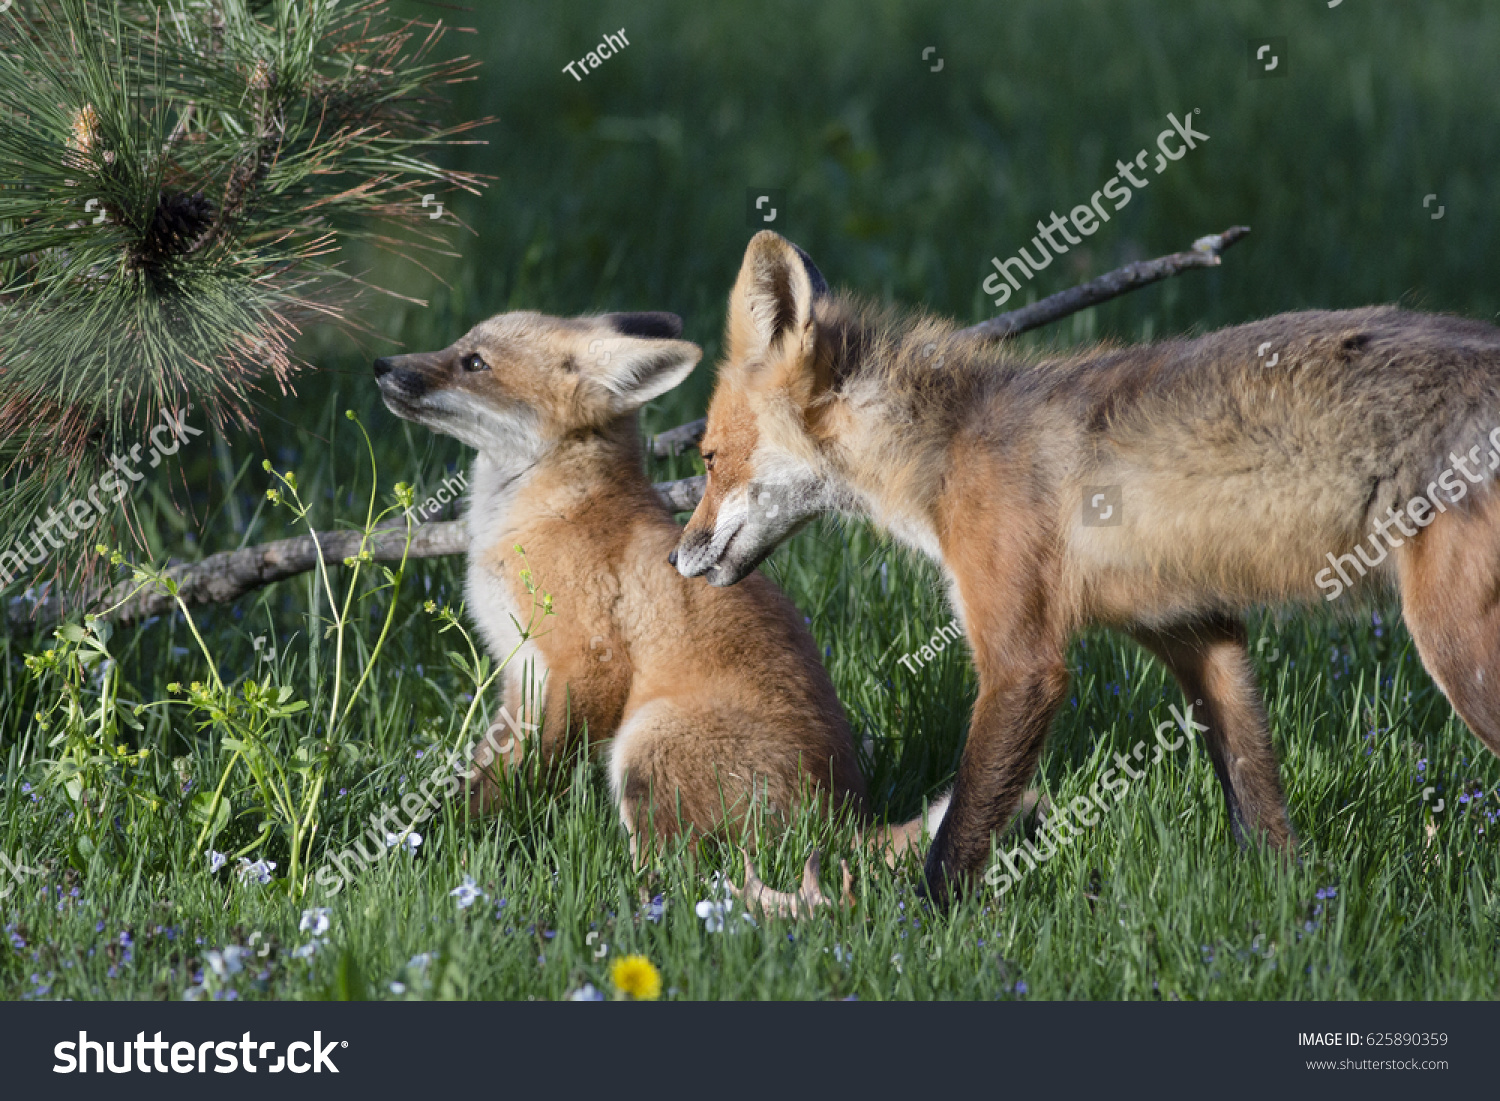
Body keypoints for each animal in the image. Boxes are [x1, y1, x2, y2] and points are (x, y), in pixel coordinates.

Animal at [372, 308, 948, 872]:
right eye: (458, 346)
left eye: (473, 362)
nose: (381, 364)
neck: (548, 513)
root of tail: (839, 819)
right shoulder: (522, 674)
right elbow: (489, 763)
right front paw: (435, 825)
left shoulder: (589, 662)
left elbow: (524, 772)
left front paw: (459, 829)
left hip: (645, 741)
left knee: (676, 871)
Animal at [674, 228, 1500, 906]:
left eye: (708, 456)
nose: (679, 558)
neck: (945, 452)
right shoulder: (1198, 634)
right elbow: (1256, 801)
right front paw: (1290, 906)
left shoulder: (1023, 660)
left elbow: (958, 834)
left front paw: (915, 927)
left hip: (1456, 647)